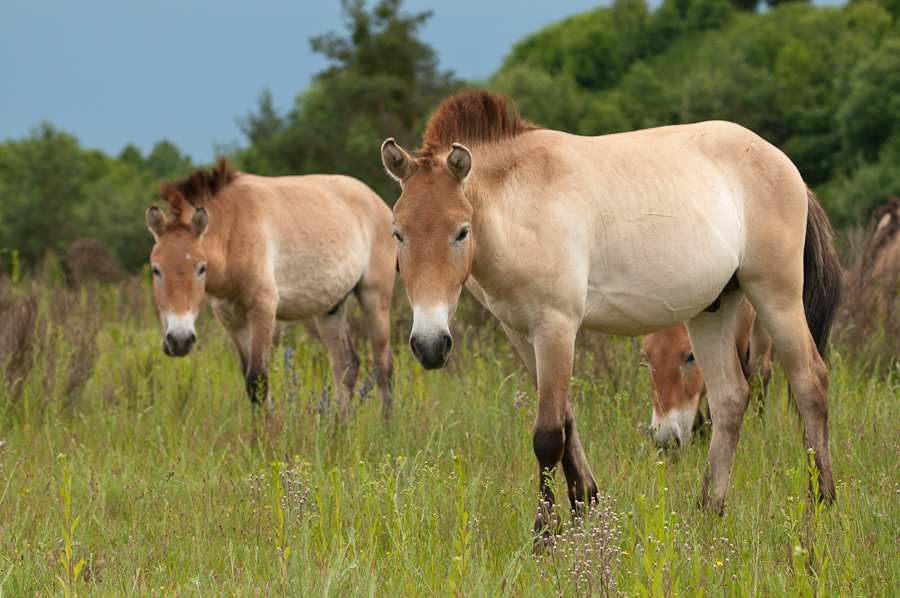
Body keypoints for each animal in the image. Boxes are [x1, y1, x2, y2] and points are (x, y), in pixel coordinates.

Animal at [145, 158, 396, 418]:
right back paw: (338, 425)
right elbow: (251, 383)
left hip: (374, 297)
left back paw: (386, 425)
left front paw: (268, 430)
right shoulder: (230, 320)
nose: (179, 340)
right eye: (156, 270)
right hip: (331, 308)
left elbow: (257, 380)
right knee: (346, 364)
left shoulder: (262, 309)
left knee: (383, 365)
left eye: (201, 268)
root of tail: (379, 202)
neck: (233, 232)